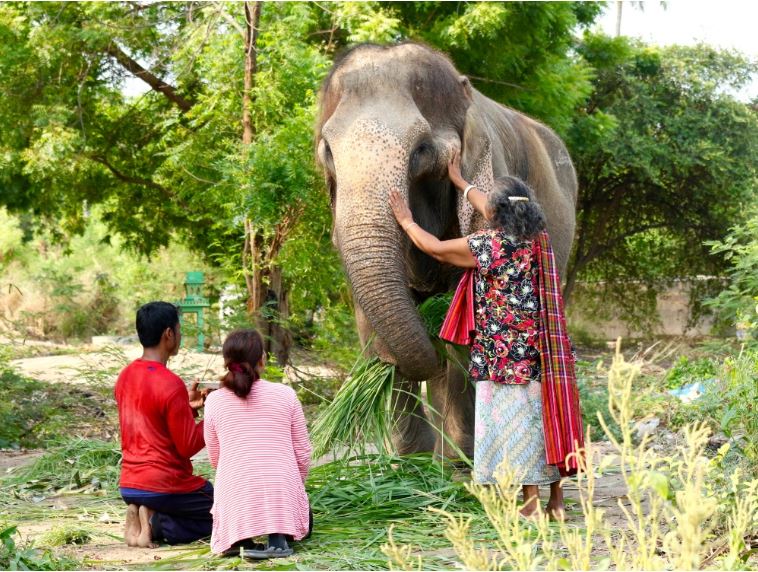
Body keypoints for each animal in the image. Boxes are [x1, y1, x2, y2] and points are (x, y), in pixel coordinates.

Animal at [315, 42, 577, 457]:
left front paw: (453, 460)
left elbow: (461, 310)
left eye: (421, 150)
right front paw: (410, 461)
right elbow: (365, 320)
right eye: (327, 151)